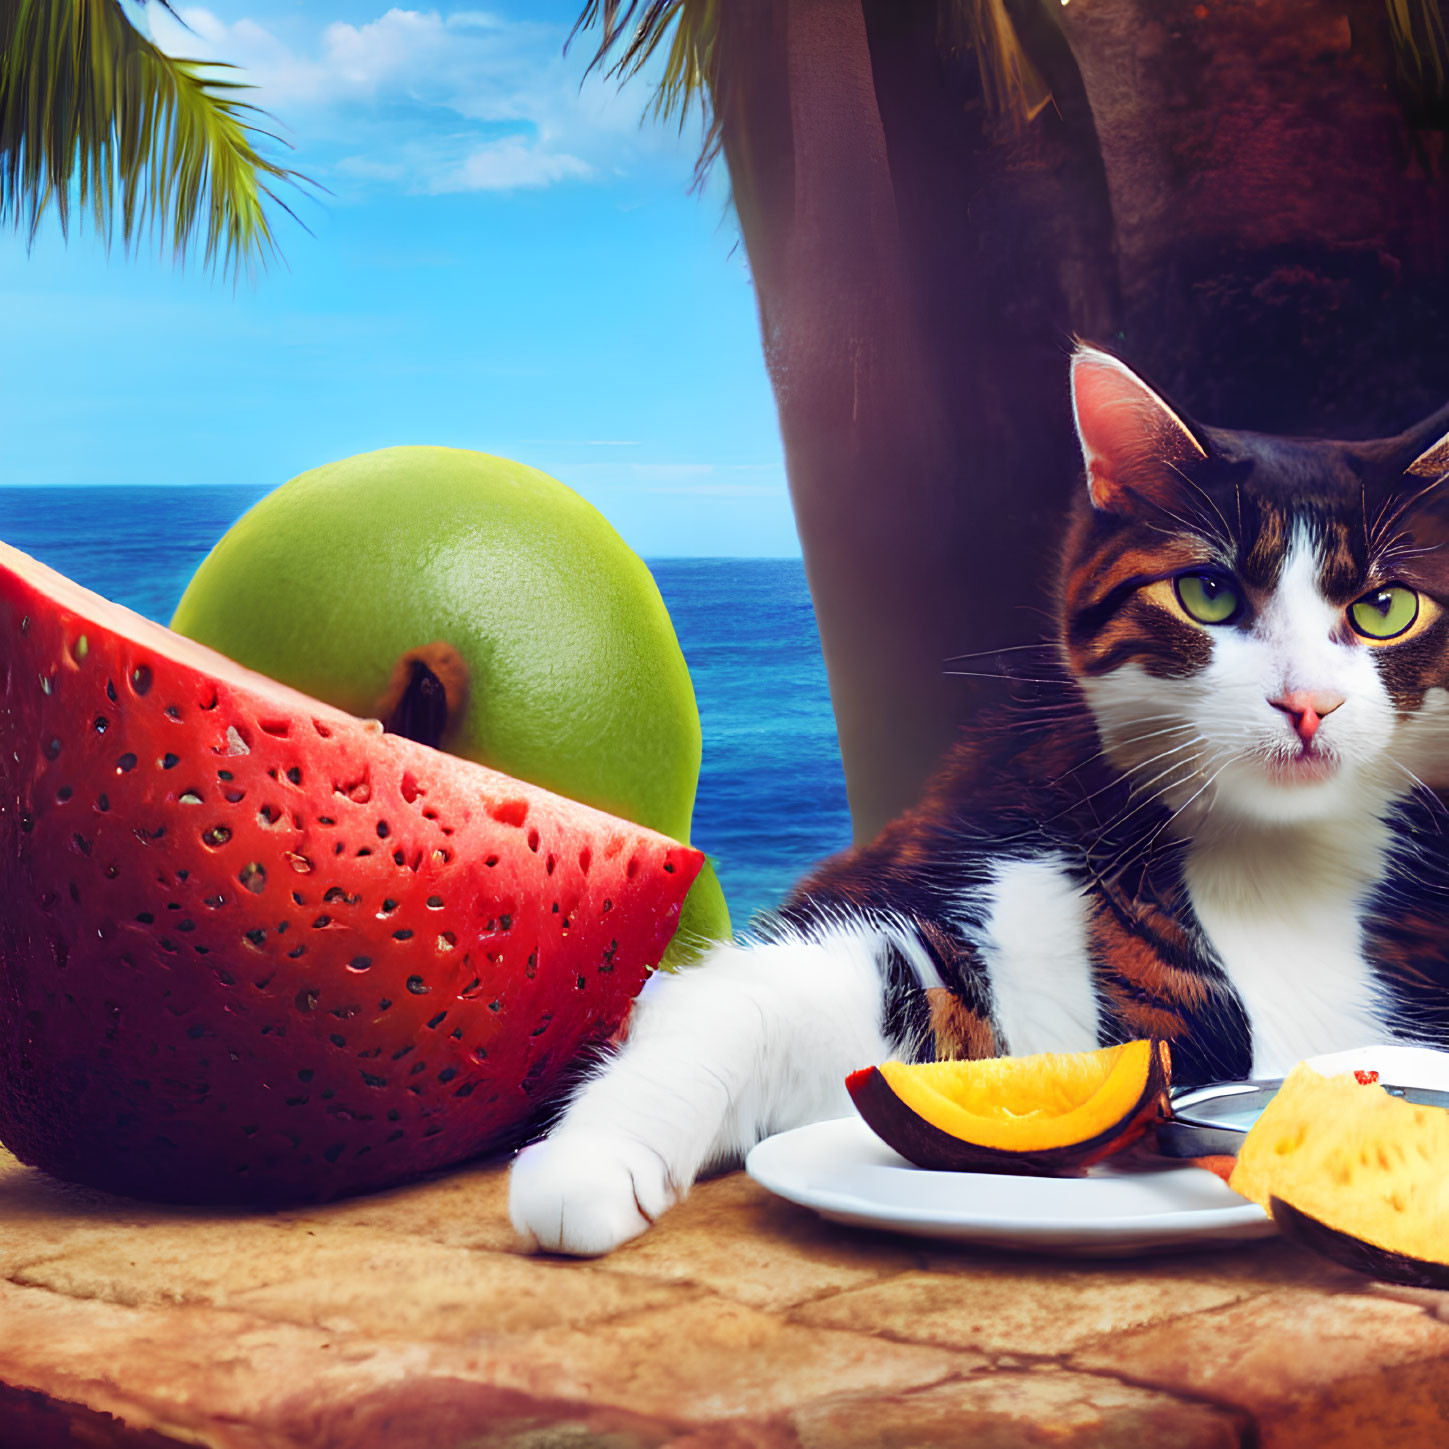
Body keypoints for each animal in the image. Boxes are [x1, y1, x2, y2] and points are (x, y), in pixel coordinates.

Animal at [504, 341, 1449, 1257]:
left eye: (1385, 608)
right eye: (1207, 593)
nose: (1306, 702)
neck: (1274, 868)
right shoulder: (965, 881)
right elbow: (763, 996)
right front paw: (593, 1159)